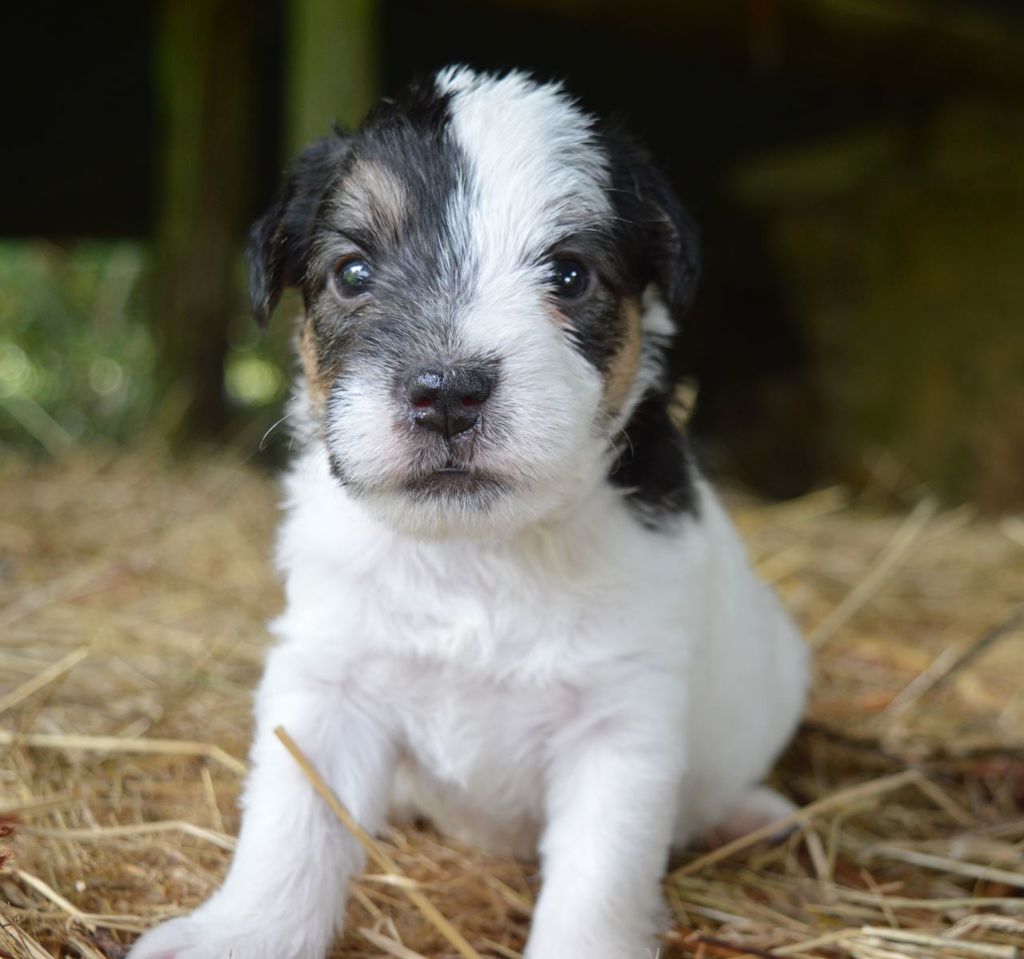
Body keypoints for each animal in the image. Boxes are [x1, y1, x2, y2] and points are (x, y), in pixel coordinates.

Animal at [130, 67, 806, 957]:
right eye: (353, 272)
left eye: (569, 275)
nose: (447, 392)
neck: (473, 551)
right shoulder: (328, 684)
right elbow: (291, 824)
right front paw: (243, 930)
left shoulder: (618, 726)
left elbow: (598, 882)